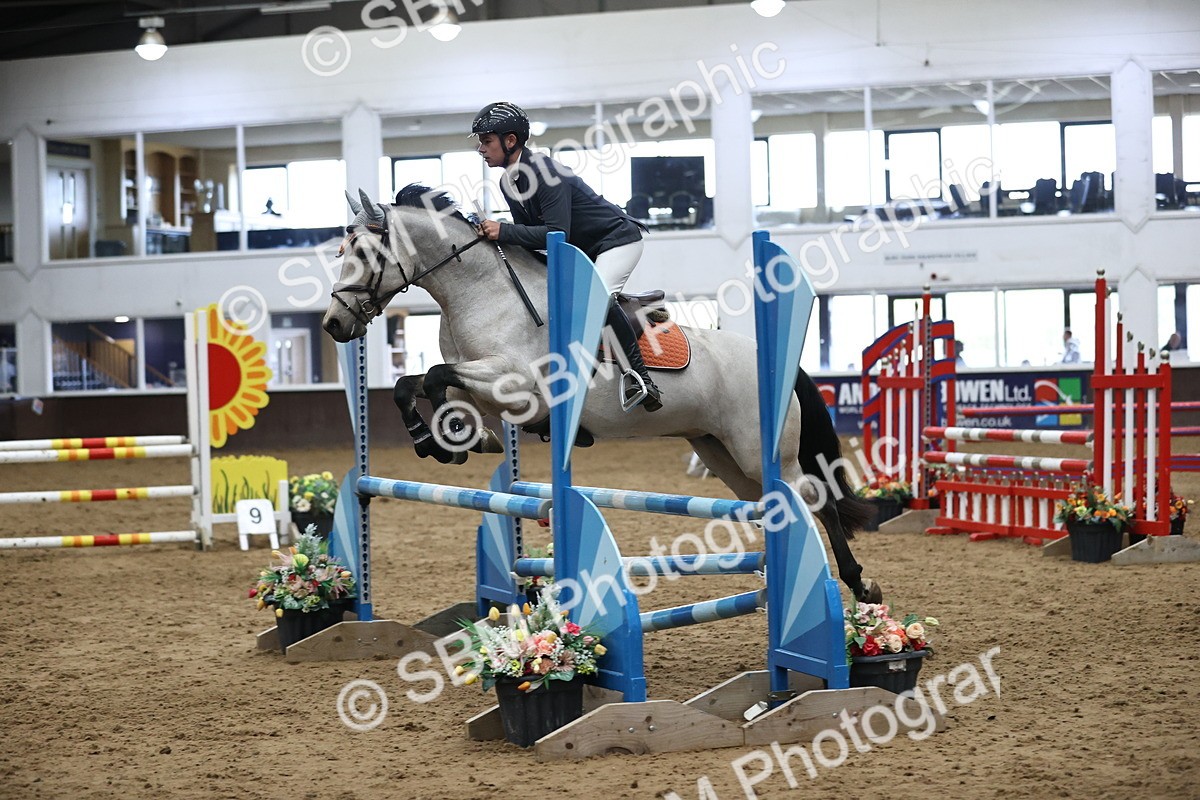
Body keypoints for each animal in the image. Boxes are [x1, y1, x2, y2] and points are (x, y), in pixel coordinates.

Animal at [322, 184, 882, 604]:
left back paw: (858, 585)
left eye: (364, 253)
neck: (485, 294)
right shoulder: (486, 389)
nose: (334, 324)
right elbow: (412, 383)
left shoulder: (516, 384)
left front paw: (452, 437)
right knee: (774, 506)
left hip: (762, 451)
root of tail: (773, 362)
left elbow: (437, 377)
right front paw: (441, 439)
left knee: (815, 502)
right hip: (724, 456)